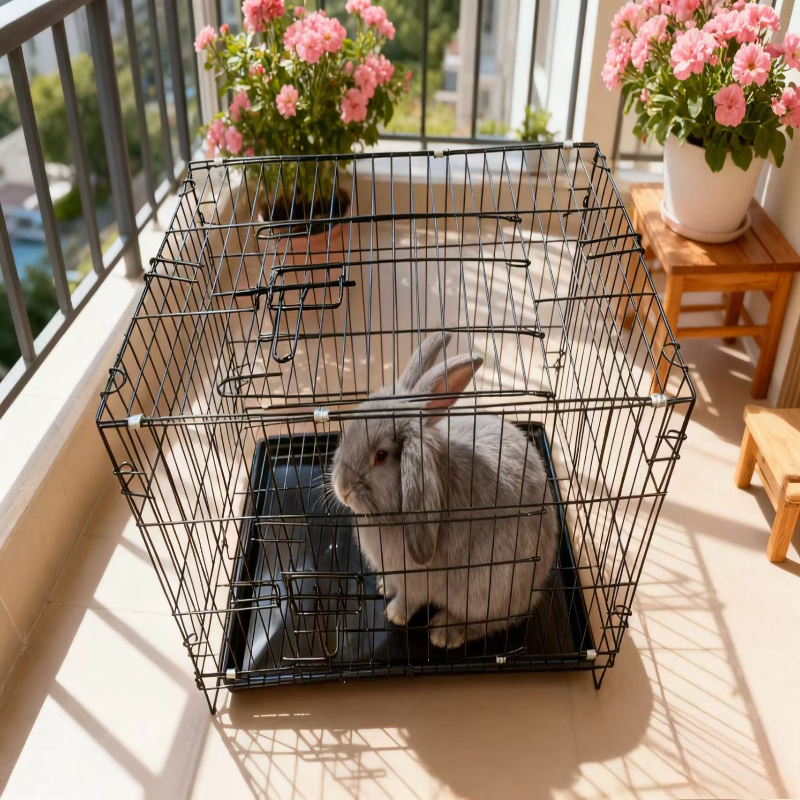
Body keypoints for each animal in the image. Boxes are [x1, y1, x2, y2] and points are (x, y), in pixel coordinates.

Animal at [329, 333, 560, 649]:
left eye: (381, 456)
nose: (342, 489)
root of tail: (534, 588)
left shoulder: (416, 581)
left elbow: (408, 600)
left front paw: (394, 615)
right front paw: (383, 586)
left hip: (486, 591)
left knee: (488, 623)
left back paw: (444, 633)